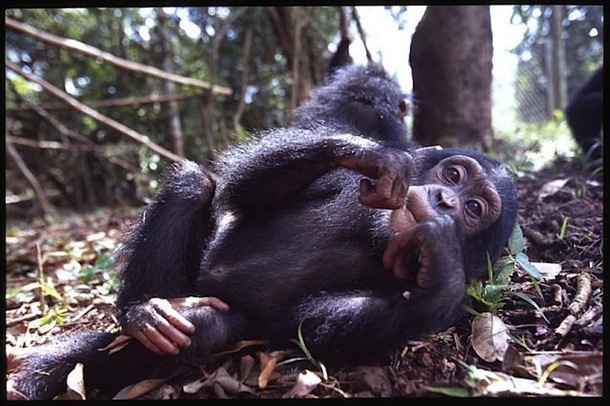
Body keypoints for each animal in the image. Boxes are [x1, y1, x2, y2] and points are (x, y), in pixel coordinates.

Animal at [7, 64, 516, 400]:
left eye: (474, 209)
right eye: (453, 175)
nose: (446, 201)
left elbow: (309, 323)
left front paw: (442, 266)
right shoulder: (350, 177)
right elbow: (245, 190)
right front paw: (373, 154)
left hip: (221, 315)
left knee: (204, 327)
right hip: (179, 281)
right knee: (193, 185)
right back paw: (140, 310)